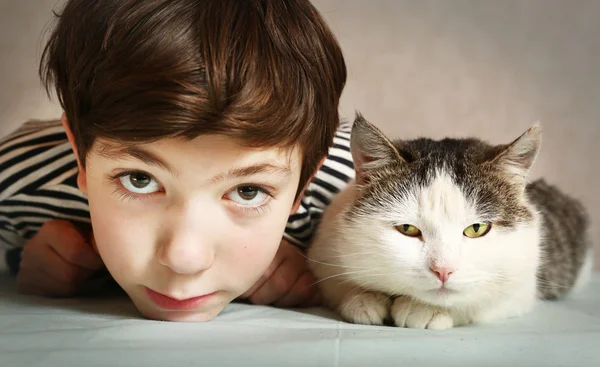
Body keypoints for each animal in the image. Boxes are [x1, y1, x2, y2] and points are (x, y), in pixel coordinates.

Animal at [308, 114, 592, 330]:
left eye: (477, 229)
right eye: (407, 229)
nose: (443, 270)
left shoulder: (522, 283)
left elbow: (478, 301)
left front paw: (422, 309)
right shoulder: (325, 253)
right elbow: (337, 283)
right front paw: (363, 298)